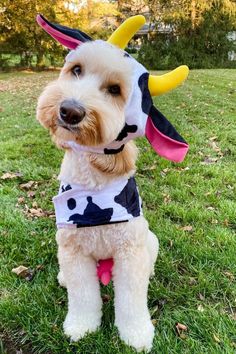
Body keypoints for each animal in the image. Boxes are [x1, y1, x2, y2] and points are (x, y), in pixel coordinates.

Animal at [36, 13, 189, 352]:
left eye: (115, 89)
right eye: (76, 70)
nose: (70, 110)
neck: (93, 190)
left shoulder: (129, 252)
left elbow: (131, 299)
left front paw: (135, 334)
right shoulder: (73, 251)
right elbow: (81, 295)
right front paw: (81, 326)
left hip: (150, 240)